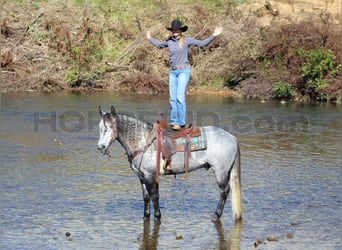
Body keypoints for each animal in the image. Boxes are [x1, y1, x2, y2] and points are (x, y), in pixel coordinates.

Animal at [96, 106, 242, 222]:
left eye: (109, 128)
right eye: (100, 128)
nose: (100, 147)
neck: (143, 141)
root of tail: (232, 138)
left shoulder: (150, 175)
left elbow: (154, 196)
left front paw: (157, 216)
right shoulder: (142, 176)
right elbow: (146, 197)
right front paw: (146, 216)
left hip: (221, 172)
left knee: (224, 191)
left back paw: (216, 215)